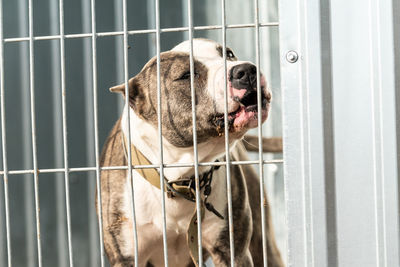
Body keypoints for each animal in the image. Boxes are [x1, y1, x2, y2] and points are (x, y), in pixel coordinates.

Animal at [98, 38, 282, 267]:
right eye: (187, 75)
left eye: (229, 54)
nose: (246, 70)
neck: (181, 178)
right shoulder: (126, 256)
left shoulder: (232, 251)